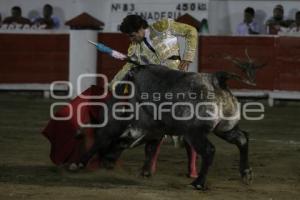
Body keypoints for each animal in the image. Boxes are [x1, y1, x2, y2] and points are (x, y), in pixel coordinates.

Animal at [74, 65, 251, 190]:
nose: (106, 163)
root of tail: (215, 79)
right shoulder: (155, 132)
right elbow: (150, 149)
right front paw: (145, 172)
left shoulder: (113, 127)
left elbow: (100, 140)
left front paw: (78, 164)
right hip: (225, 129)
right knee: (242, 139)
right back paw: (246, 173)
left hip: (194, 133)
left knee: (209, 150)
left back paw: (198, 183)